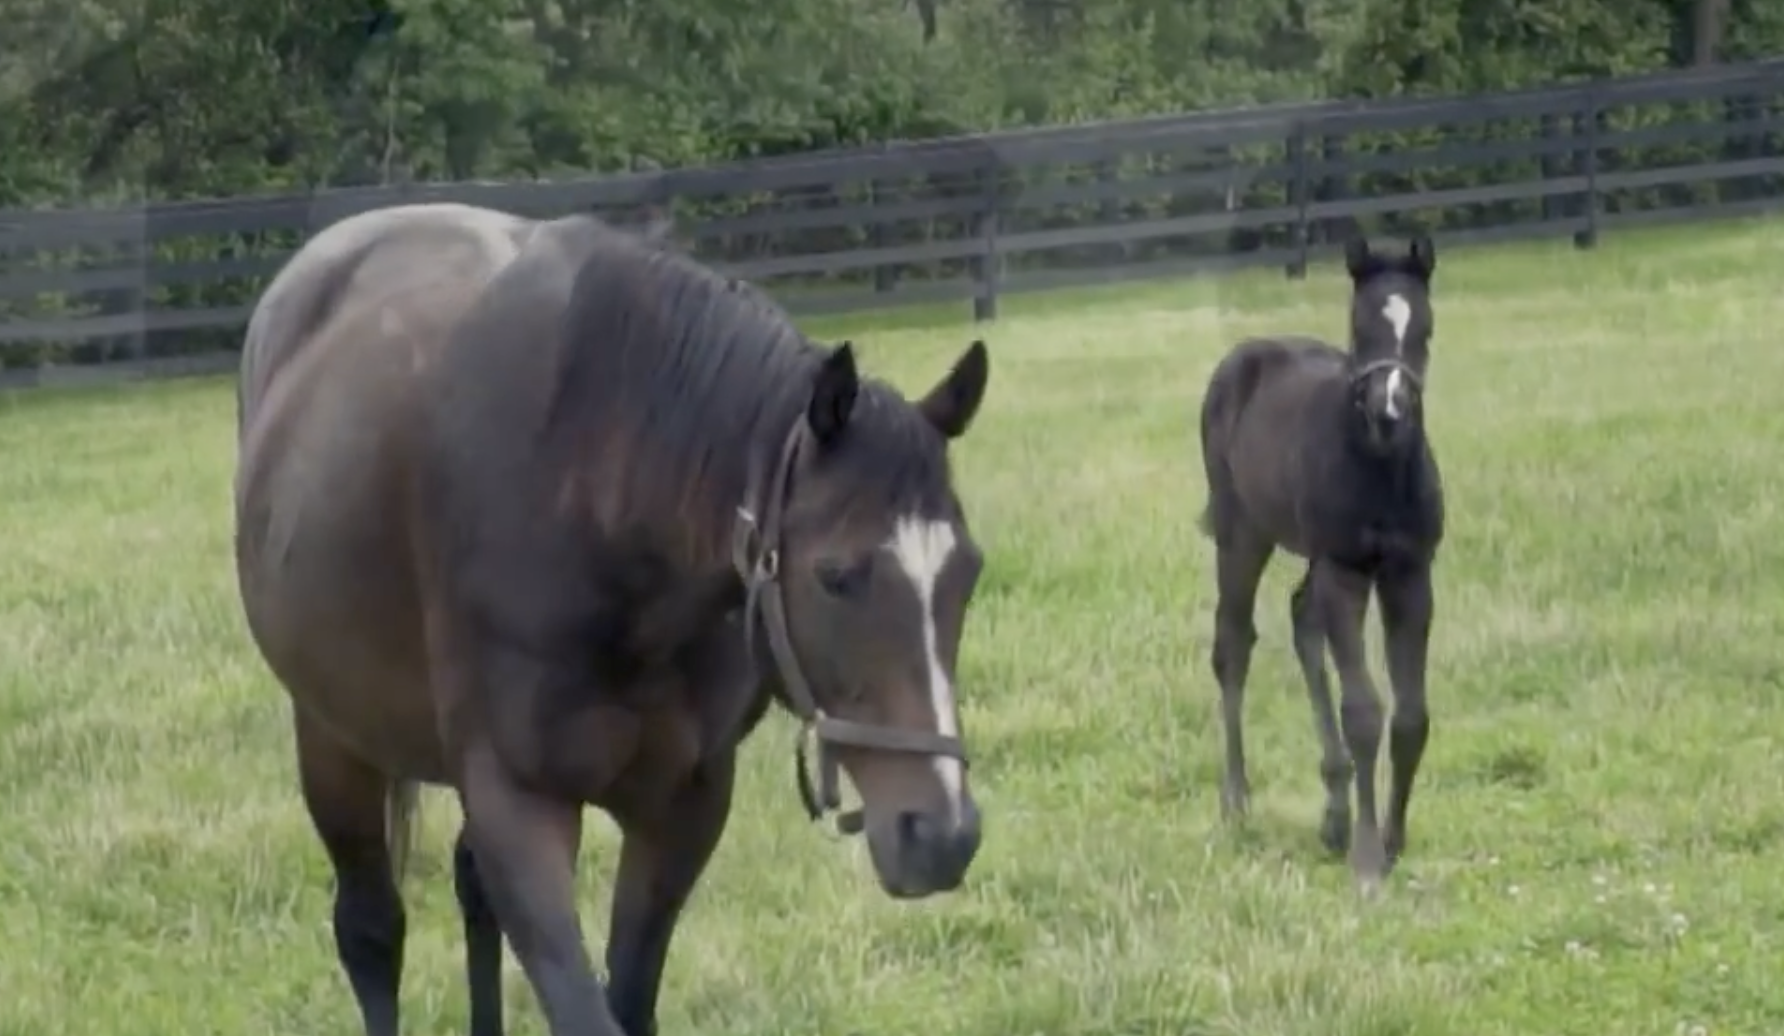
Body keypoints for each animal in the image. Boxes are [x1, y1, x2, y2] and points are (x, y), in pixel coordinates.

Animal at [233, 201, 993, 1036]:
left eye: (968, 572)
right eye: (835, 576)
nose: (942, 834)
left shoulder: (685, 804)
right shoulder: (518, 802)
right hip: (331, 737)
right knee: (371, 929)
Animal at [1194, 234, 1443, 893]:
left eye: (1425, 328)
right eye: (1360, 326)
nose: (1390, 409)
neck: (1380, 468)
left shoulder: (1411, 575)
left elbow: (1410, 716)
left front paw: (1392, 838)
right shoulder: (1346, 570)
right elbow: (1364, 712)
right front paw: (1368, 859)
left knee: (1303, 618)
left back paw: (1332, 808)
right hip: (1243, 533)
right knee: (1233, 644)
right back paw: (1238, 798)